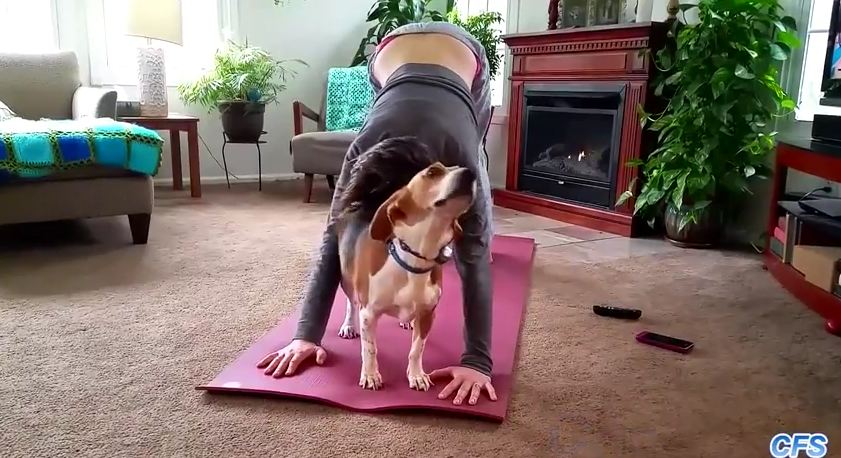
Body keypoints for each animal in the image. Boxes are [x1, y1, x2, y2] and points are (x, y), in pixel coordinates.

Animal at [336, 136, 480, 390]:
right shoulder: (369, 314)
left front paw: (416, 375)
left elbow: (416, 349)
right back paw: (348, 325)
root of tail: (368, 203)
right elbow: (369, 349)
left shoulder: (428, 314)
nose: (471, 173)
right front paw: (370, 374)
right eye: (433, 172)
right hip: (347, 279)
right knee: (350, 303)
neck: (414, 260)